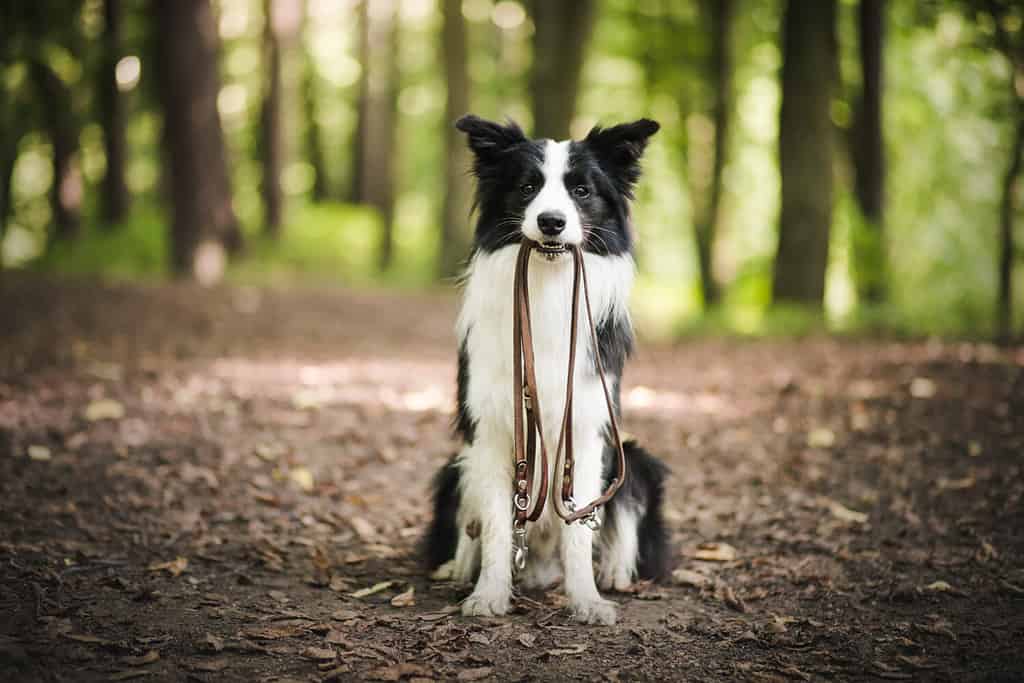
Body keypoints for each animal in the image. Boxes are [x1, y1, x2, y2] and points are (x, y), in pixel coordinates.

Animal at [423, 113, 671, 626]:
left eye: (581, 190)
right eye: (527, 187)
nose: (551, 222)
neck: (547, 284)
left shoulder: (588, 428)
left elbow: (579, 528)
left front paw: (587, 600)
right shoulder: (493, 430)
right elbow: (497, 526)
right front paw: (489, 594)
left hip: (633, 458)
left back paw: (614, 573)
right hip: (456, 466)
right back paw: (458, 568)